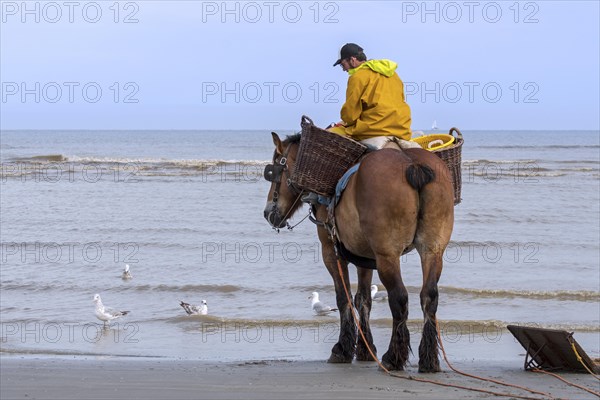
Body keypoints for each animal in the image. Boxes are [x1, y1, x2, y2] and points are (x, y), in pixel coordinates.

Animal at [262, 132, 454, 372]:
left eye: (275, 170)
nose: (267, 213)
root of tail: (412, 163)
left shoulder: (331, 251)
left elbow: (343, 297)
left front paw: (342, 349)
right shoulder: (365, 257)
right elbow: (363, 298)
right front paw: (364, 348)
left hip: (387, 255)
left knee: (399, 298)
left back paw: (393, 357)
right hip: (432, 250)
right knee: (429, 296)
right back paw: (428, 359)